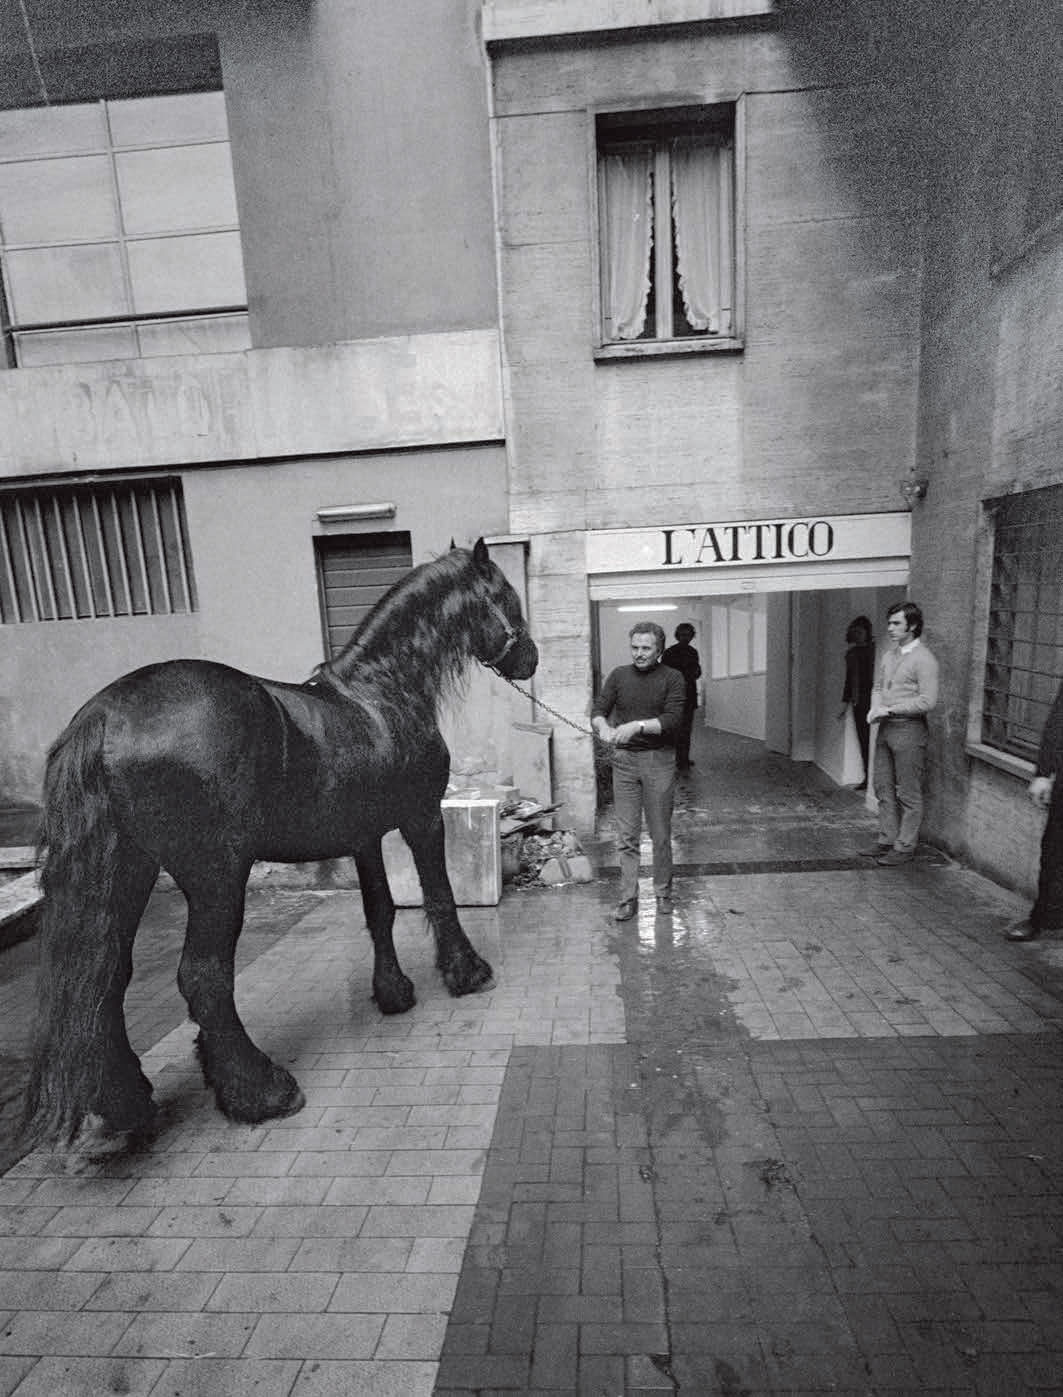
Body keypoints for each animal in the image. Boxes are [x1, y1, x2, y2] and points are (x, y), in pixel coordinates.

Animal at [22, 539, 539, 1151]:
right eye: (505, 593)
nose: (530, 659)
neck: (383, 694)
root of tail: (103, 717)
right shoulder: (420, 820)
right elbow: (440, 896)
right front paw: (467, 973)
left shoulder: (364, 838)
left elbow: (381, 911)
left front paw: (392, 993)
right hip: (217, 877)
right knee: (202, 977)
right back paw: (259, 1092)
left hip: (128, 873)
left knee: (107, 978)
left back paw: (129, 1103)